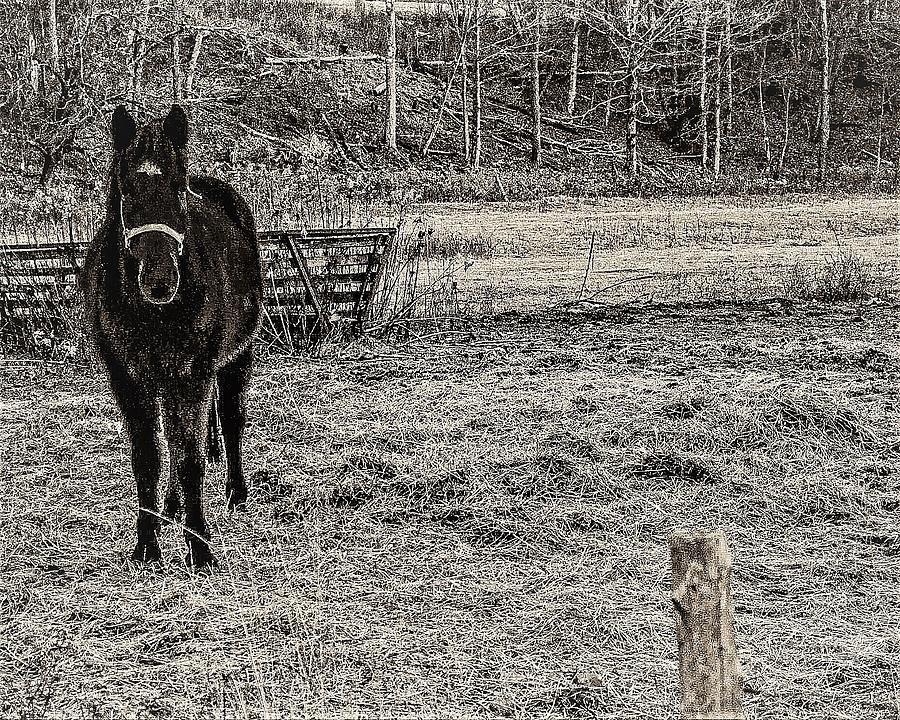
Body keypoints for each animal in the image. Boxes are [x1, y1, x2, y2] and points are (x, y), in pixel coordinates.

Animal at [82, 104, 263, 571]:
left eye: (179, 191)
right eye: (125, 192)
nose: (160, 281)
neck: (153, 314)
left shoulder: (193, 376)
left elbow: (190, 458)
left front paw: (200, 549)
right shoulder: (130, 380)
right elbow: (149, 458)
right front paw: (147, 545)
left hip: (235, 359)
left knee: (230, 421)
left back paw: (235, 493)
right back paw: (171, 507)